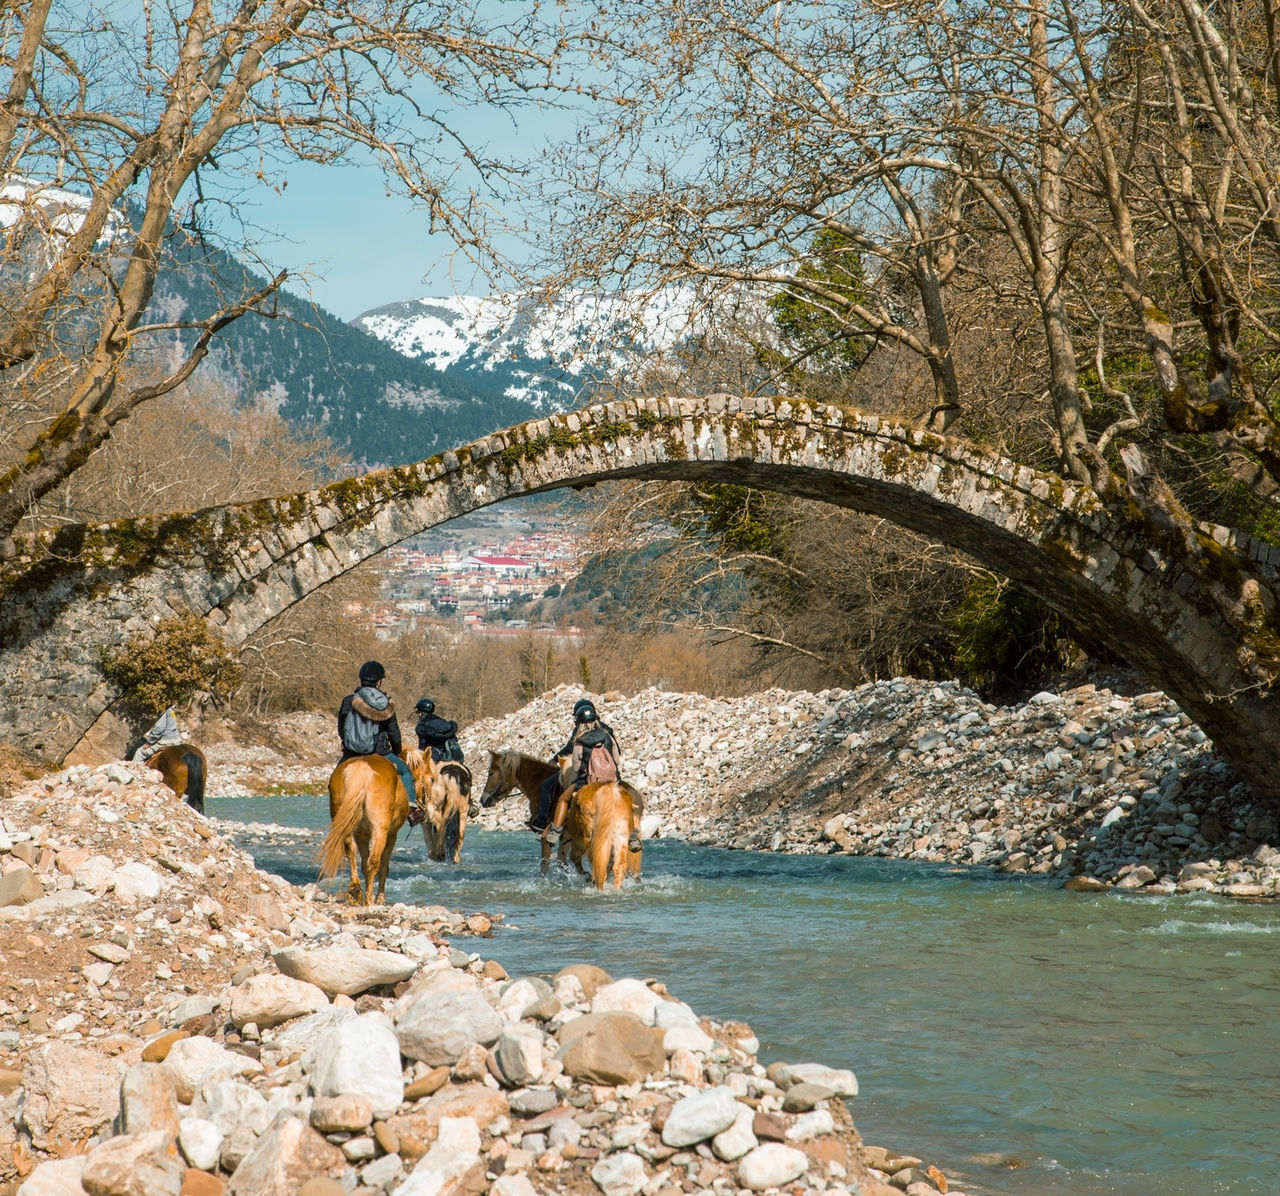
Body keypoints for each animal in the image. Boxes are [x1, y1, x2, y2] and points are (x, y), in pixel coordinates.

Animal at [313, 758, 407, 906]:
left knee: (351, 852)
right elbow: (383, 866)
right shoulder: (391, 835)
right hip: (379, 830)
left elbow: (362, 862)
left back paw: (355, 891)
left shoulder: (361, 836)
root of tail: (361, 768)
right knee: (374, 862)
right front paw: (380, 898)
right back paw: (369, 900)